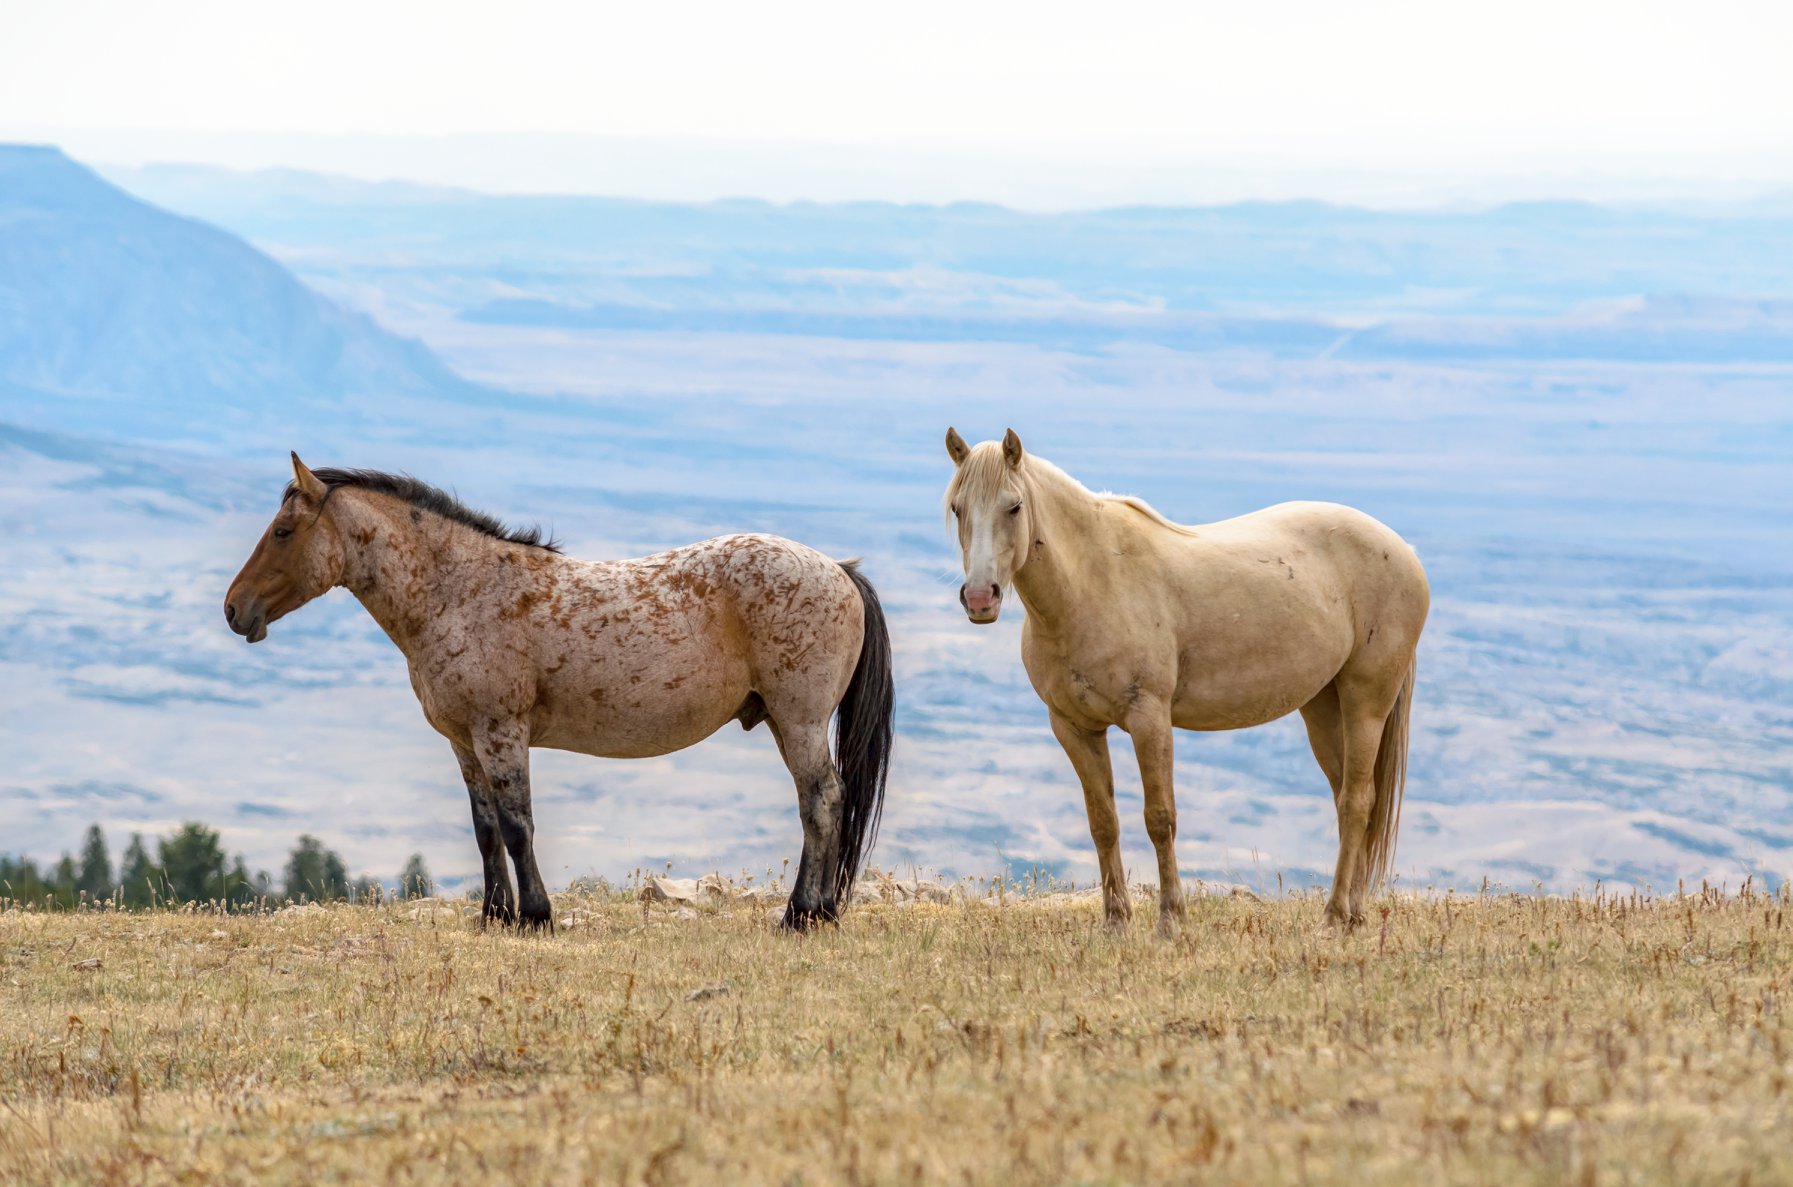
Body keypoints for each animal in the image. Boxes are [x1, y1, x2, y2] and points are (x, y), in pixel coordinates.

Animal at [227, 455, 892, 932]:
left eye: (283, 531)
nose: (235, 610)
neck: (459, 591)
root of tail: (839, 570)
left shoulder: (501, 731)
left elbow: (518, 824)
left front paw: (535, 916)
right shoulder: (464, 742)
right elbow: (485, 827)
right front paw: (495, 915)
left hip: (800, 720)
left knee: (821, 801)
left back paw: (803, 916)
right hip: (783, 719)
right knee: (820, 801)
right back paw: (819, 911)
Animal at [939, 430, 1427, 939]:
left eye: (1014, 506)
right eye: (957, 507)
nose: (980, 598)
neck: (1094, 582)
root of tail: (1403, 550)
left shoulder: (1150, 719)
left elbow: (1160, 819)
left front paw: (1171, 920)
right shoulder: (1074, 728)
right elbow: (1103, 822)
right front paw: (1116, 922)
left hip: (1366, 701)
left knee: (1356, 802)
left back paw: (1332, 918)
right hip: (1323, 706)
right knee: (1350, 800)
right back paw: (1353, 915)